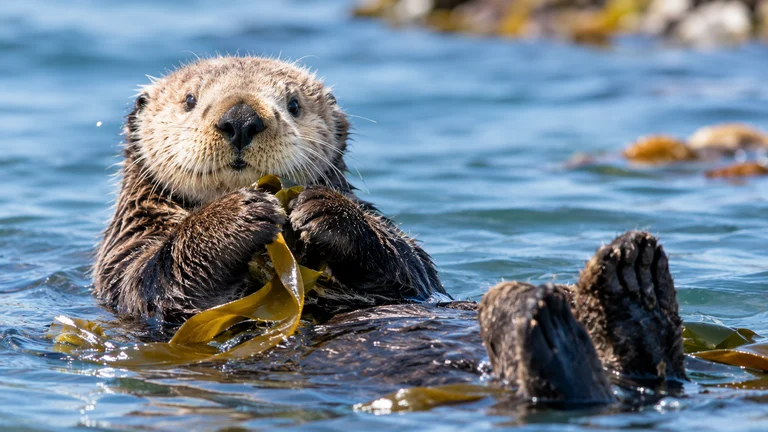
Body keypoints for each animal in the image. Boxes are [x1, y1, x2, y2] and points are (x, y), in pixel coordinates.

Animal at [94, 56, 686, 407]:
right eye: (190, 100)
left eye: (293, 104)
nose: (241, 118)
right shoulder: (125, 253)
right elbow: (155, 280)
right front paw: (238, 216)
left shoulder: (409, 261)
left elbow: (408, 264)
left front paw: (320, 209)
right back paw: (573, 313)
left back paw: (627, 285)